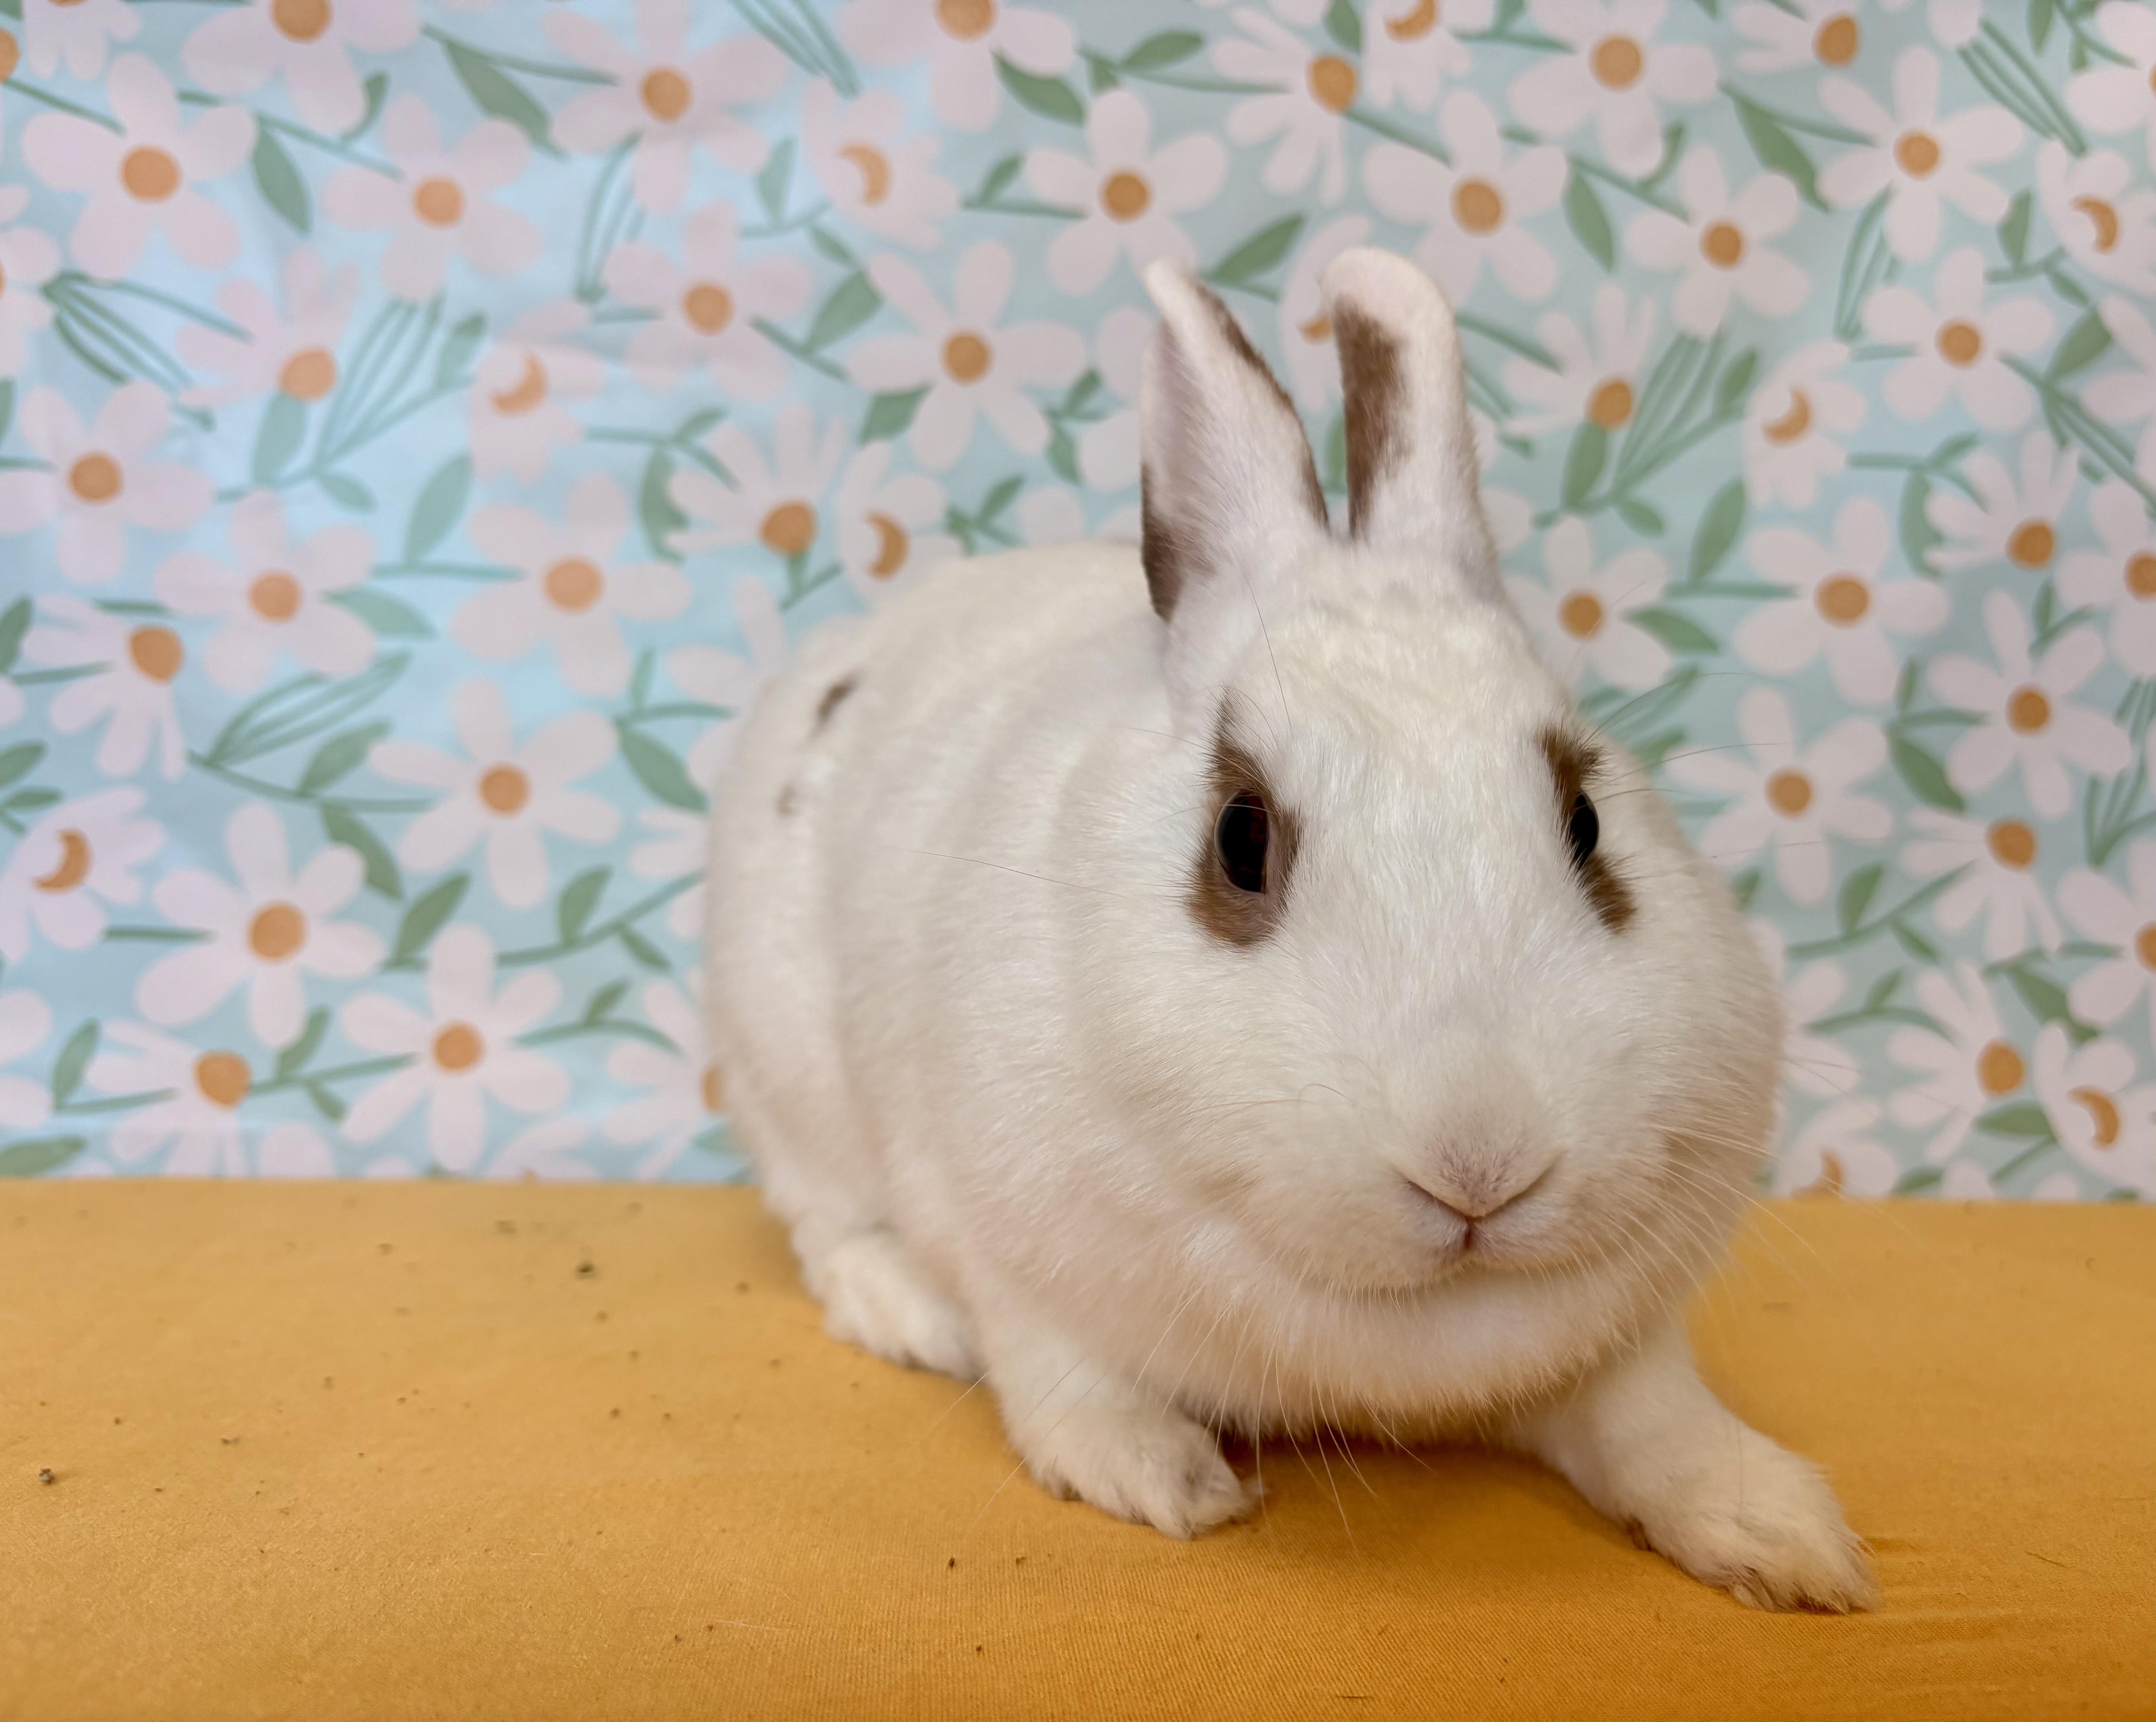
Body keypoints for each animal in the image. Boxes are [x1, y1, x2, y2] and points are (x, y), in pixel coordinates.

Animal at [703, 246, 1874, 1613]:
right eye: (1241, 838)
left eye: (1587, 821)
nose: (1482, 1158)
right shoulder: (1010, 1250)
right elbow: (1060, 1377)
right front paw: (1164, 1478)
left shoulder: (1619, 1347)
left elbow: (1654, 1421)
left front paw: (1787, 1537)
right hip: (785, 1074)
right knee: (827, 1226)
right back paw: (910, 1315)